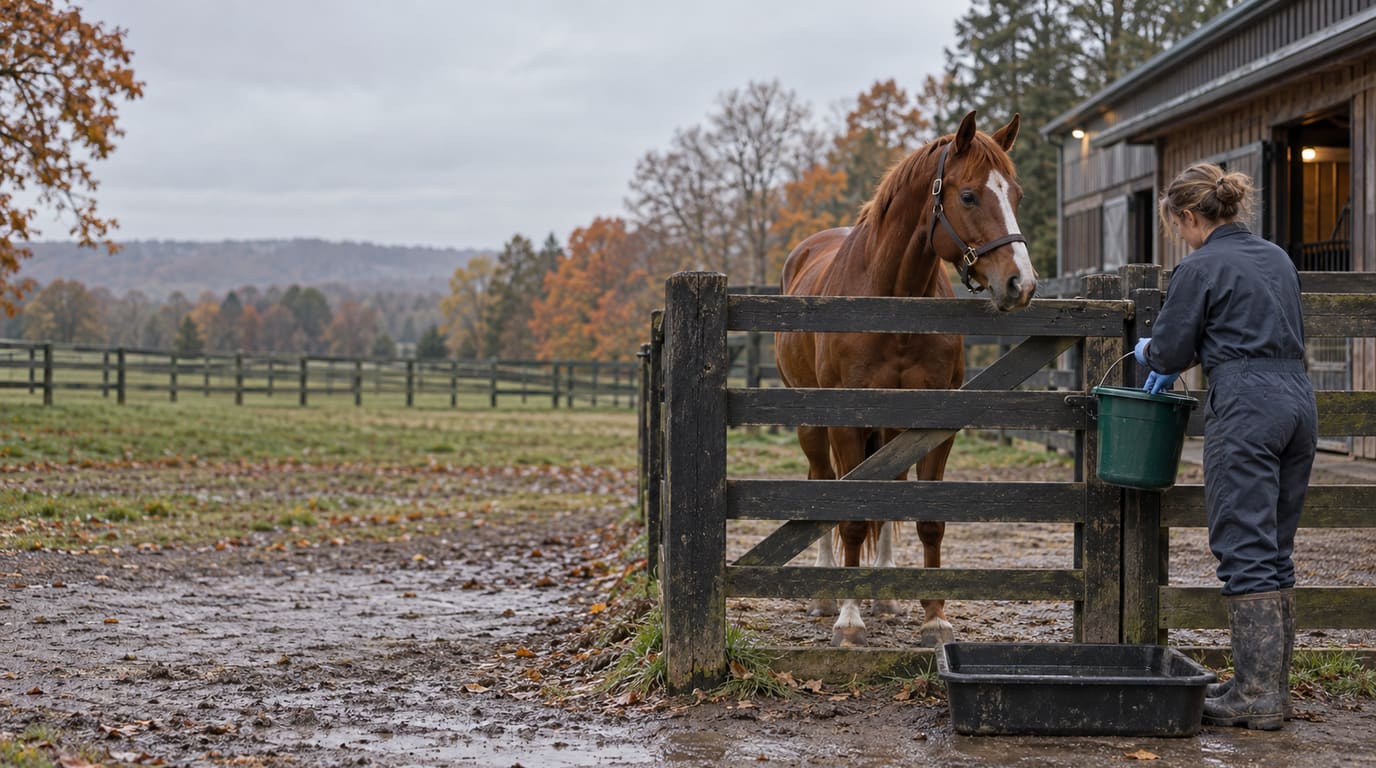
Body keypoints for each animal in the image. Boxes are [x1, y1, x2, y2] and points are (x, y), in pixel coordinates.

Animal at [774, 110, 1036, 648]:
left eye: (1017, 195)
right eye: (969, 196)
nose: (1021, 284)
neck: (891, 301)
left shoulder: (933, 423)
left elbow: (926, 517)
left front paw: (933, 616)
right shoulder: (845, 423)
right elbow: (851, 520)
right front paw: (849, 620)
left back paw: (886, 594)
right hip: (811, 424)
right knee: (820, 482)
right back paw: (826, 595)